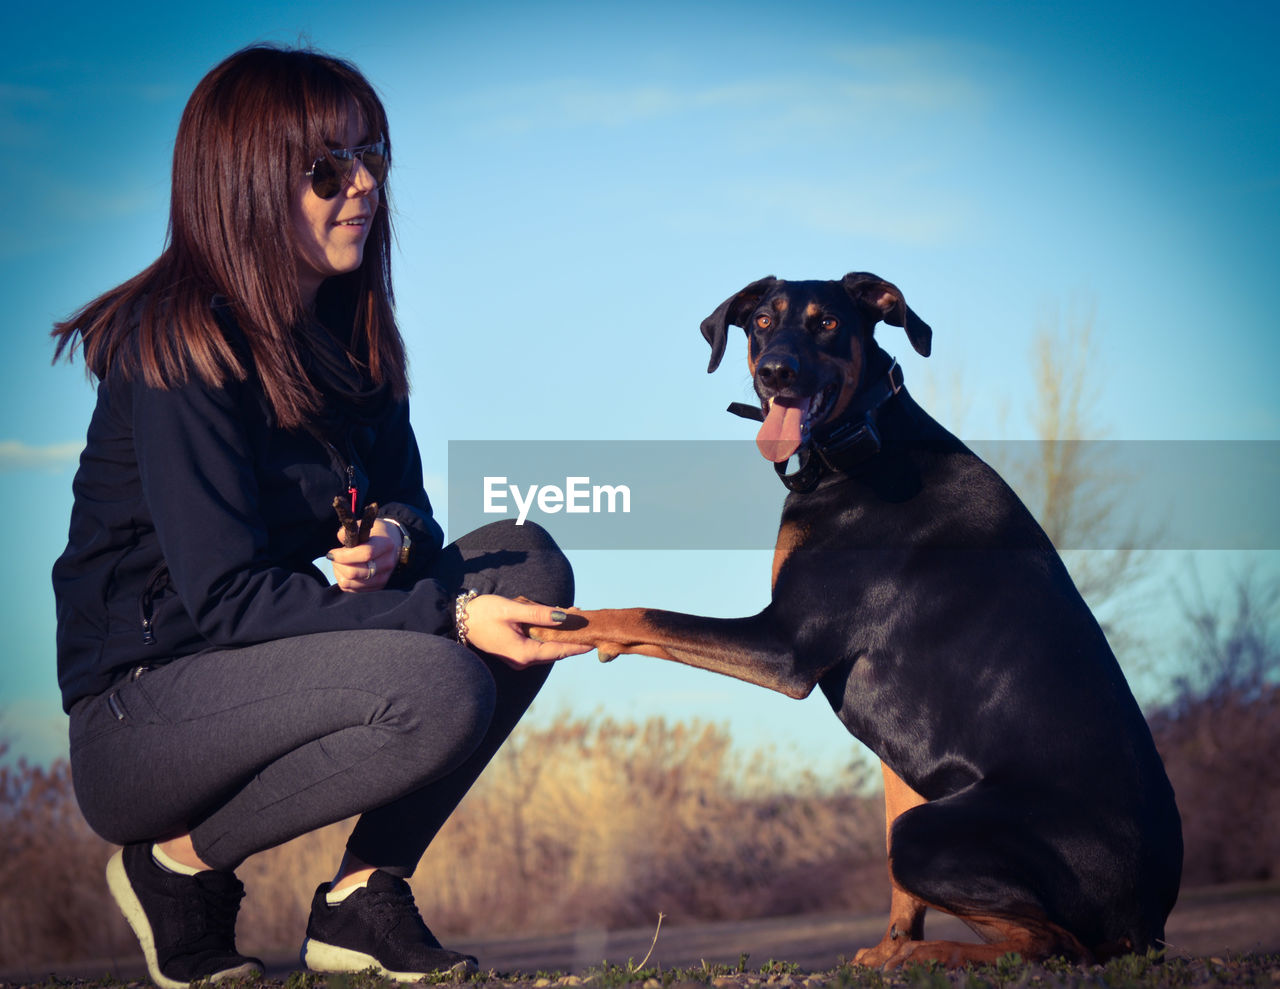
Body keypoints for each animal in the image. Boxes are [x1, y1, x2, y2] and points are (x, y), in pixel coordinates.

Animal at [535, 273, 1182, 967]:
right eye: (762, 322)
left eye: (825, 323)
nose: (776, 373)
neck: (862, 443)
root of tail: (1149, 922)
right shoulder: (900, 755)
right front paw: (888, 942)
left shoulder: (785, 646)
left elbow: (645, 614)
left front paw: (554, 624)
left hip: (936, 834)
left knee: (1054, 946)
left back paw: (924, 956)